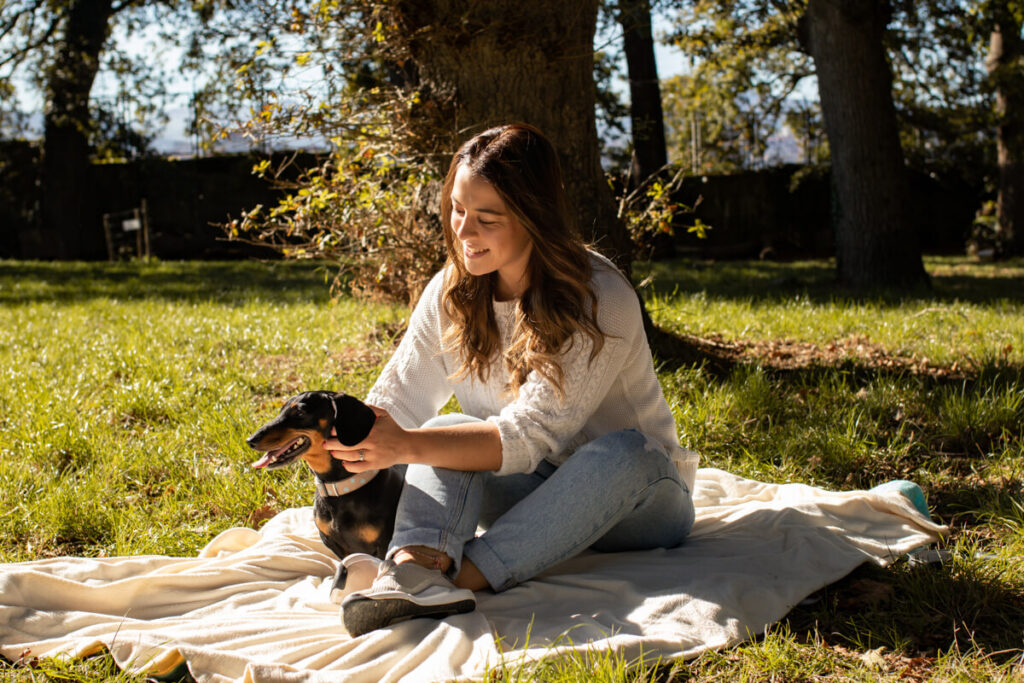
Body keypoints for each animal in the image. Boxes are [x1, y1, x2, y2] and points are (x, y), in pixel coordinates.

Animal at [245, 393, 405, 565]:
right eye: (281, 410)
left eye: (300, 412)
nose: (250, 440)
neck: (341, 488)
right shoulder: (332, 543)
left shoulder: (385, 546)